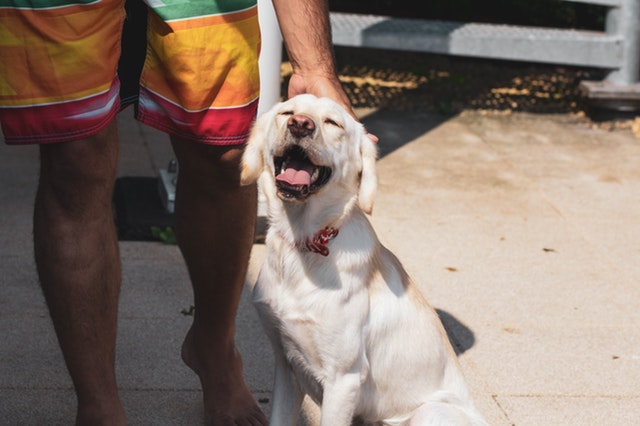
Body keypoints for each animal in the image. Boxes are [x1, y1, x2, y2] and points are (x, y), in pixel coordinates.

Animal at [240, 95, 484, 424]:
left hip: (429, 412)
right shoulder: (286, 365)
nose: (300, 124)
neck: (303, 242)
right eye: (286, 112)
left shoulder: (343, 379)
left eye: (333, 122)